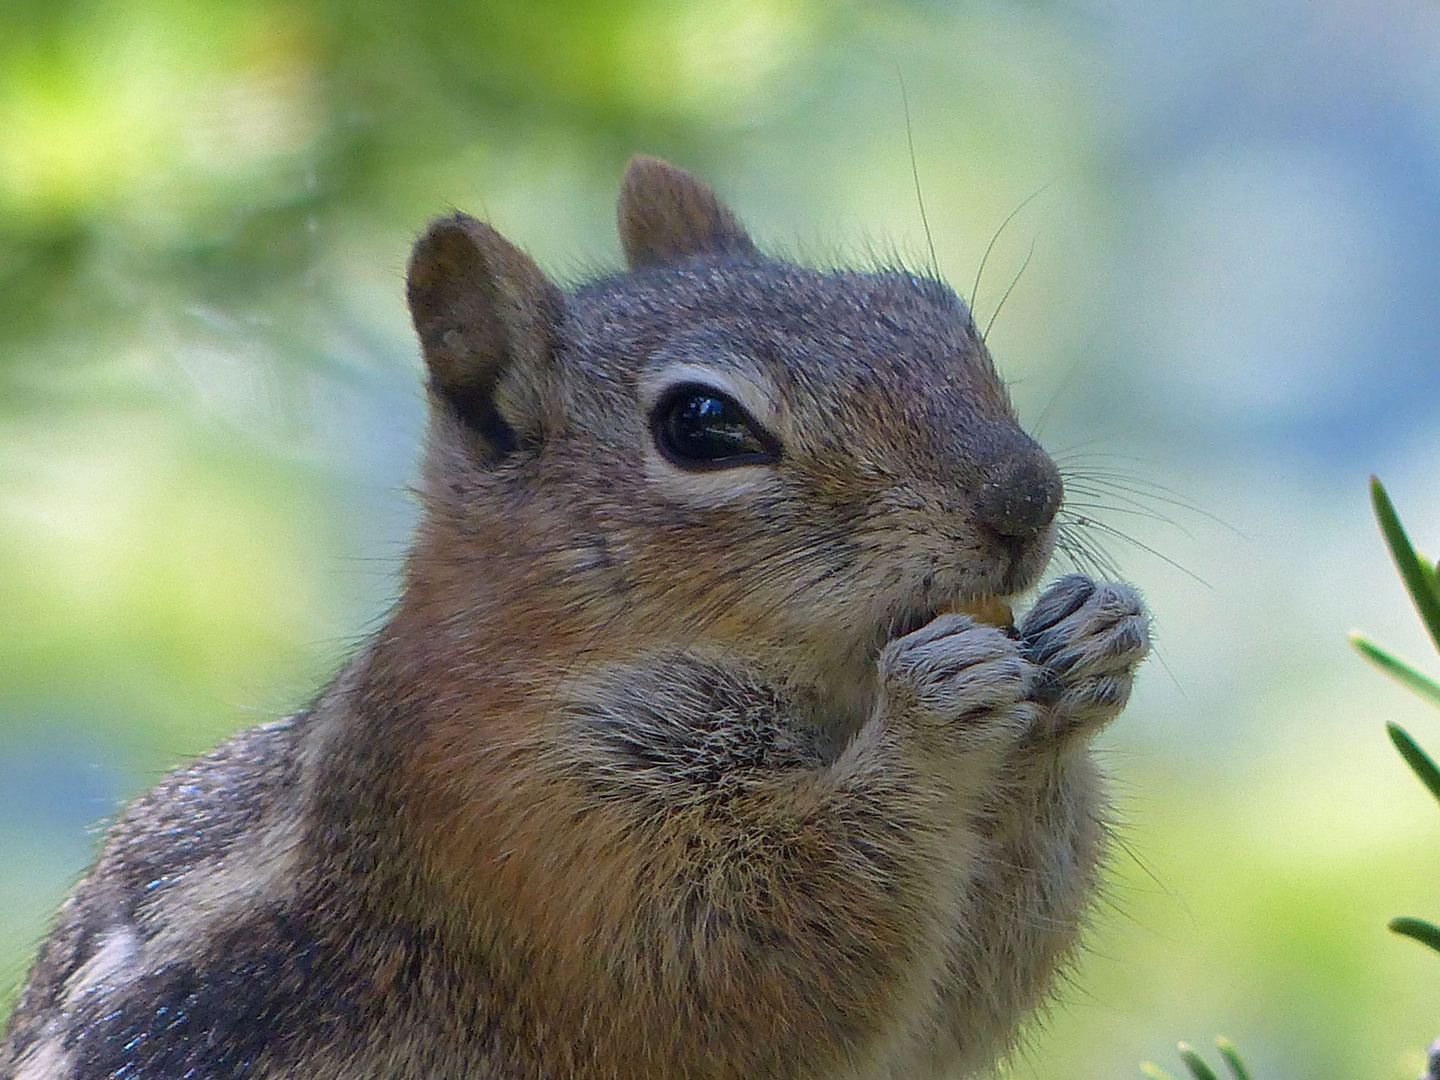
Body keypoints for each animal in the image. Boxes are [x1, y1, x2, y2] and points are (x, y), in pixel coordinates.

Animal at [0, 154, 1146, 1080]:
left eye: (937, 308)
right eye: (702, 424)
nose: (1026, 496)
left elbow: (950, 1004)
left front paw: (1087, 648)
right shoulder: (525, 833)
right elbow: (750, 964)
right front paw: (932, 712)